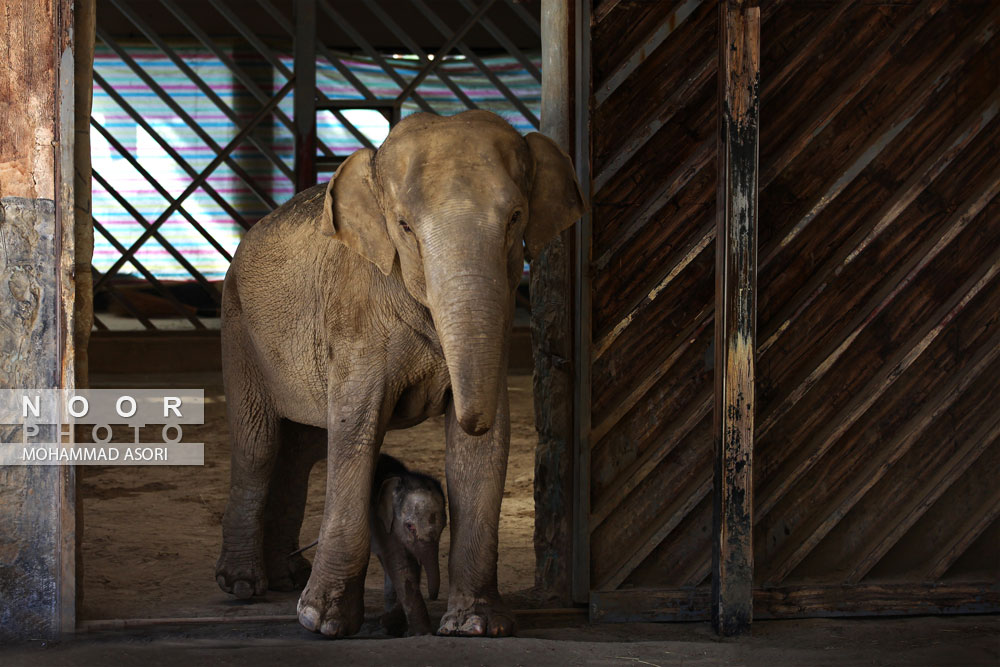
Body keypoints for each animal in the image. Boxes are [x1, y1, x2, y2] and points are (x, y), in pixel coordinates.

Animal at [374, 454, 448, 636]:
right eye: (410, 526)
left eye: (444, 526)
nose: (433, 597)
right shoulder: (383, 525)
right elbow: (400, 565)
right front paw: (421, 633)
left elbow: (410, 566)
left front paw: (392, 623)